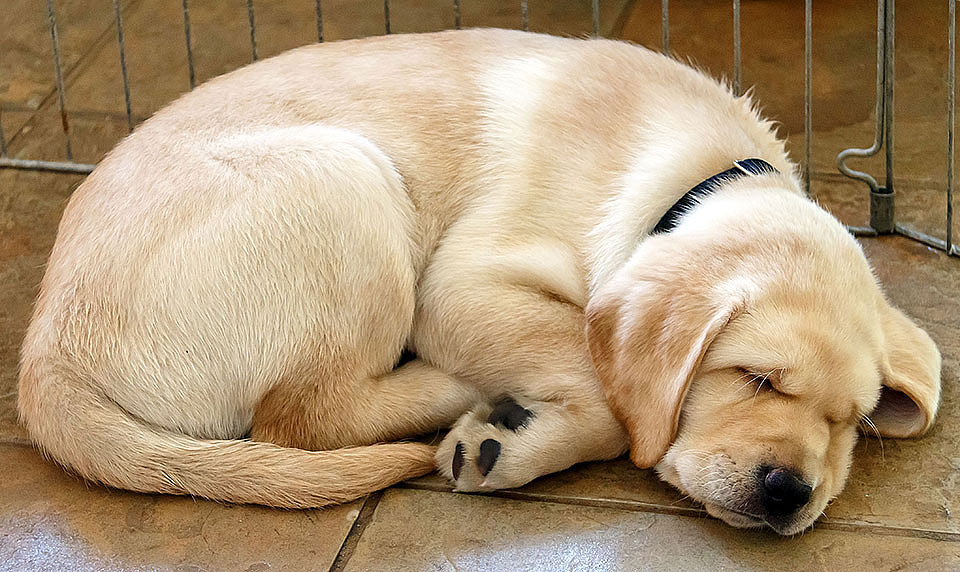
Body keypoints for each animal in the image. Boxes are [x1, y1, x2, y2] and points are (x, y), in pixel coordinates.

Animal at [18, 27, 940, 536]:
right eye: (755, 378)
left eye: (851, 423)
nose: (790, 493)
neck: (694, 178)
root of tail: (44, 356)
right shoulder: (459, 283)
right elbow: (604, 392)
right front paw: (512, 440)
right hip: (345, 177)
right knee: (301, 417)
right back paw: (457, 393)